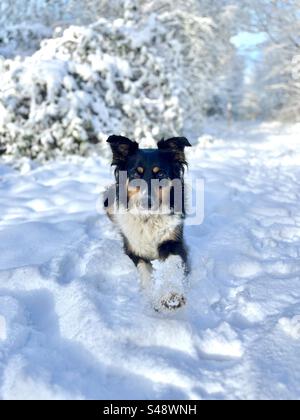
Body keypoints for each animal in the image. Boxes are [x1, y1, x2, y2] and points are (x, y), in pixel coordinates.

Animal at [104, 136, 191, 310]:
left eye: (161, 173)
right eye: (135, 174)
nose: (146, 202)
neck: (148, 218)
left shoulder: (173, 242)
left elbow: (173, 265)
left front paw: (172, 295)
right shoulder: (134, 250)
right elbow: (145, 272)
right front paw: (152, 297)